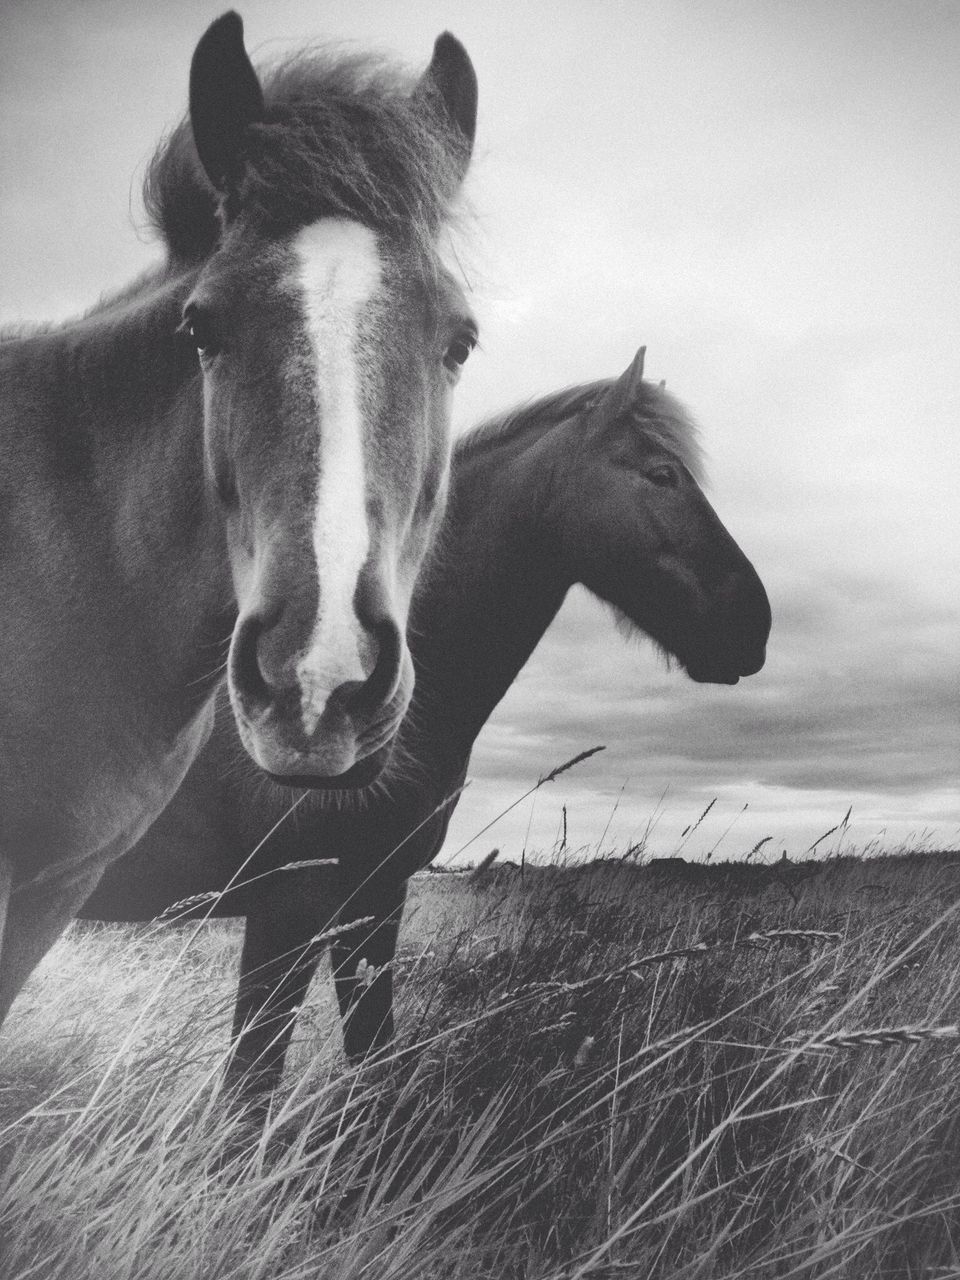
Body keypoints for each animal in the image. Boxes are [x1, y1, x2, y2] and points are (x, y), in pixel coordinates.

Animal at [82, 350, 773, 1100]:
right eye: (661, 474)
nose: (754, 622)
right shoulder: (289, 909)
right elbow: (251, 1090)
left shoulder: (374, 901)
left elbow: (374, 1056)